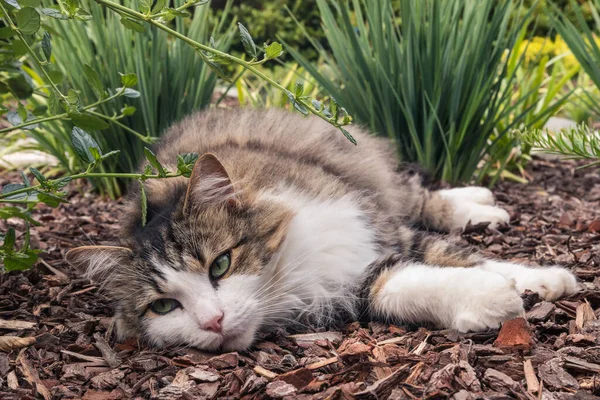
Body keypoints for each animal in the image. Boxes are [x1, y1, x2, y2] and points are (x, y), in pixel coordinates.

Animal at [64, 108, 576, 350]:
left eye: (220, 265)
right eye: (164, 306)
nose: (213, 321)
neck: (292, 276)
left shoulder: (381, 230)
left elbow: (466, 256)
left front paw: (544, 280)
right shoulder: (356, 285)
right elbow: (406, 283)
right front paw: (490, 297)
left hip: (374, 182)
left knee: (424, 199)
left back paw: (484, 204)